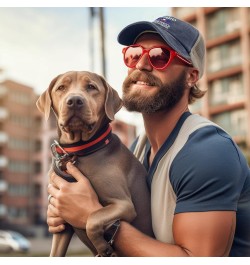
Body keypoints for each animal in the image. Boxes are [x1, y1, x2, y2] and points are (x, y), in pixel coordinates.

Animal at [36, 70, 153, 256]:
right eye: (61, 87)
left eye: (91, 87)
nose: (74, 101)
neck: (79, 153)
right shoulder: (61, 223)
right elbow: (55, 253)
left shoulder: (123, 205)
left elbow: (92, 218)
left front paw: (103, 248)